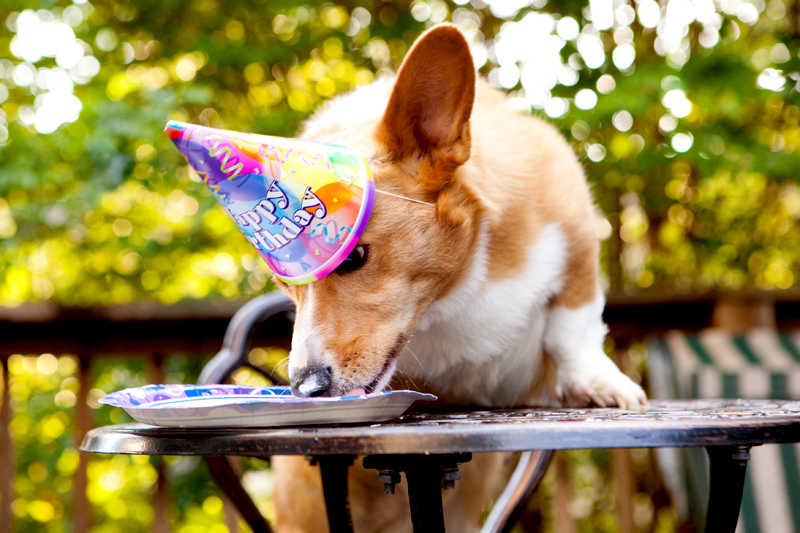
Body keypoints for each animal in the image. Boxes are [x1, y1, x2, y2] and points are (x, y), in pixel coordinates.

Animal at [272, 22, 648, 528]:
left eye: (353, 258)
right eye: (283, 281)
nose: (307, 390)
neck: (463, 281)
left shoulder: (575, 238)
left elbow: (575, 325)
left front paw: (598, 382)